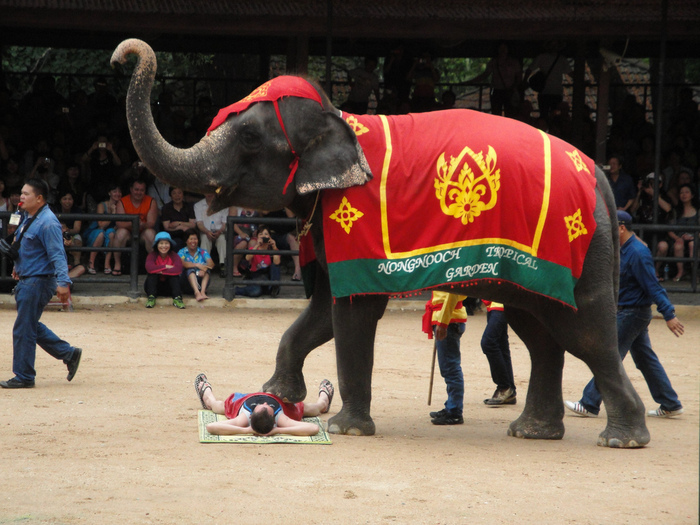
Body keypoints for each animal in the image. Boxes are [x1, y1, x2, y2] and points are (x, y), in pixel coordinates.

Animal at [110, 39, 652, 446]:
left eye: (247, 138)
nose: (121, 57)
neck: (340, 118)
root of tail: (599, 176)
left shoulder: (360, 225)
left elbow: (352, 313)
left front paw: (346, 428)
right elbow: (321, 311)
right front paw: (277, 392)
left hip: (580, 252)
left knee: (586, 334)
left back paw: (621, 439)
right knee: (538, 332)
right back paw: (533, 432)